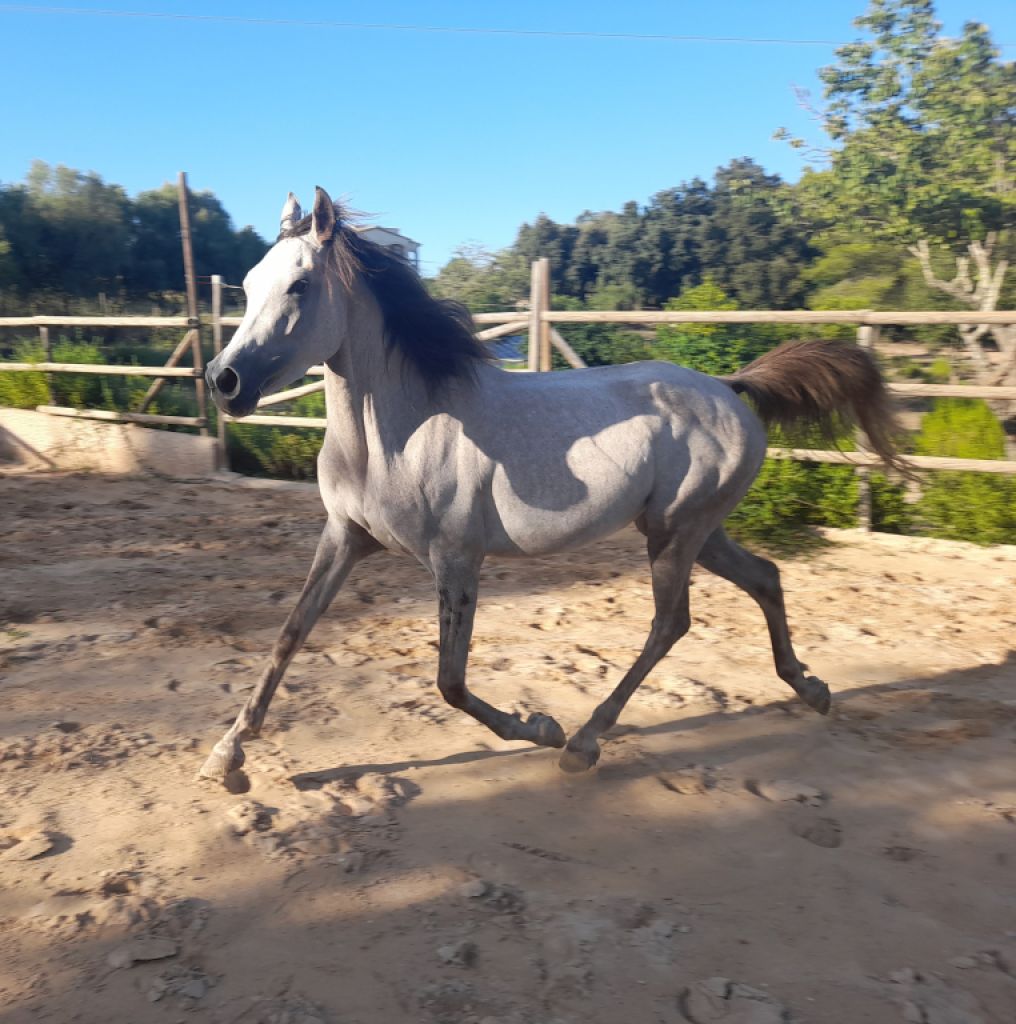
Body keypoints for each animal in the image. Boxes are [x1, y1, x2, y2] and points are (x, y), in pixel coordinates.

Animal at [199, 186, 905, 783]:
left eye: (299, 286)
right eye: (248, 284)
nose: (224, 381)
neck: (397, 436)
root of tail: (730, 388)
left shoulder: (456, 558)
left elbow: (450, 681)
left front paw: (540, 727)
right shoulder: (345, 536)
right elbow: (290, 633)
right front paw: (226, 757)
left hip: (677, 532)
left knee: (671, 621)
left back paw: (584, 741)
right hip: (694, 529)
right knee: (764, 577)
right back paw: (811, 689)